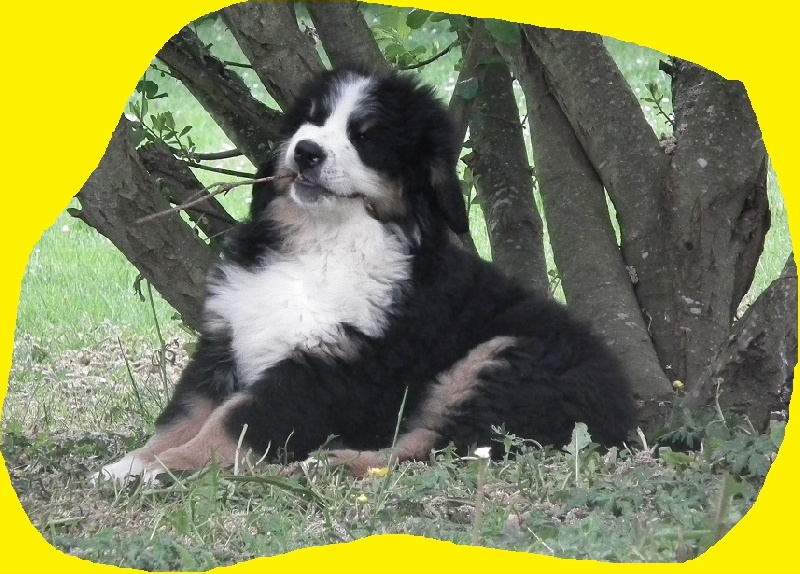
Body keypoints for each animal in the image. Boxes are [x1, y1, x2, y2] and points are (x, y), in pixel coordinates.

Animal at [98, 67, 636, 482]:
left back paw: (328, 463)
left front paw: (166, 467)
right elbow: (185, 414)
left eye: (368, 136)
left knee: (436, 449)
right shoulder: (224, 339)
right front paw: (134, 463)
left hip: (501, 359)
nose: (306, 151)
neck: (323, 240)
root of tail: (624, 411)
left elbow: (233, 421)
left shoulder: (327, 366)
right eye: (312, 119)